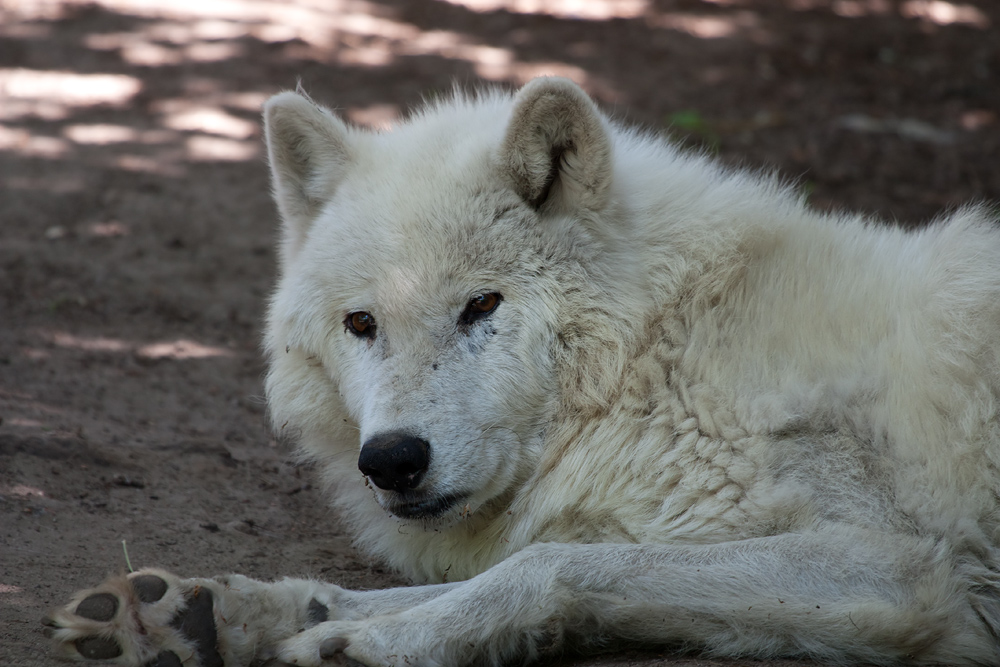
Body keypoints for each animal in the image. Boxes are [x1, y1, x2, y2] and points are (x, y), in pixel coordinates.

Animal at [47, 79, 1000, 667]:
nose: (391, 459)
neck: (661, 353)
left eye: (481, 305)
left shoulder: (895, 565)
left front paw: (384, 644)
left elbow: (543, 564)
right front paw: (220, 613)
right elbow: (432, 581)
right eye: (362, 323)